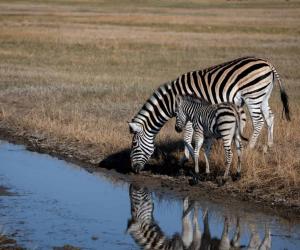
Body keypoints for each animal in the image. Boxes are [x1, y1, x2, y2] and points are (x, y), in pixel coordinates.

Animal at [128, 56, 288, 173]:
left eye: (134, 144)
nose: (133, 169)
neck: (173, 100)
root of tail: (268, 64)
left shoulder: (188, 112)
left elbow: (187, 135)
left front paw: (186, 158)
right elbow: (190, 136)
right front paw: (190, 156)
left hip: (253, 95)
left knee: (258, 121)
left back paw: (249, 148)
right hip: (263, 96)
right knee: (270, 117)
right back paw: (268, 146)